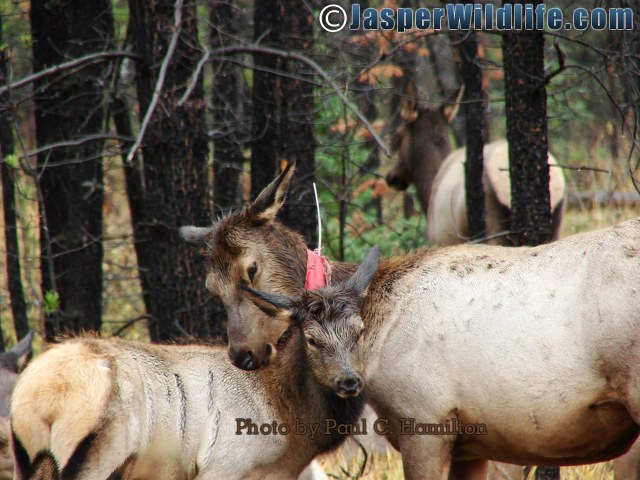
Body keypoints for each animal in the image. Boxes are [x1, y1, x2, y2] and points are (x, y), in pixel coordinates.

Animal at [8, 258, 376, 480]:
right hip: (97, 453)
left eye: (360, 331)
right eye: (312, 339)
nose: (349, 381)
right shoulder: (224, 464)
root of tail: (44, 398)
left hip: (28, 455)